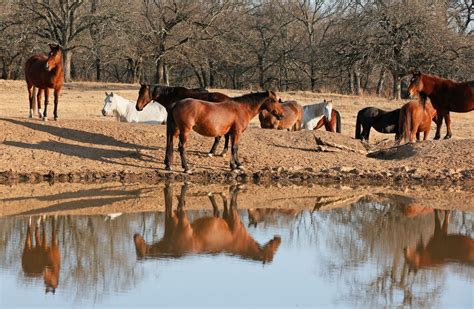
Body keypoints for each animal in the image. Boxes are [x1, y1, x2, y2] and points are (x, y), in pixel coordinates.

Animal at [133, 182, 282, 264]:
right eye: (271, 254)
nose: (278, 238)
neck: (240, 241)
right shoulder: (232, 216)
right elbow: (233, 201)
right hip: (180, 218)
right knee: (179, 206)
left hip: (171, 219)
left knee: (169, 205)